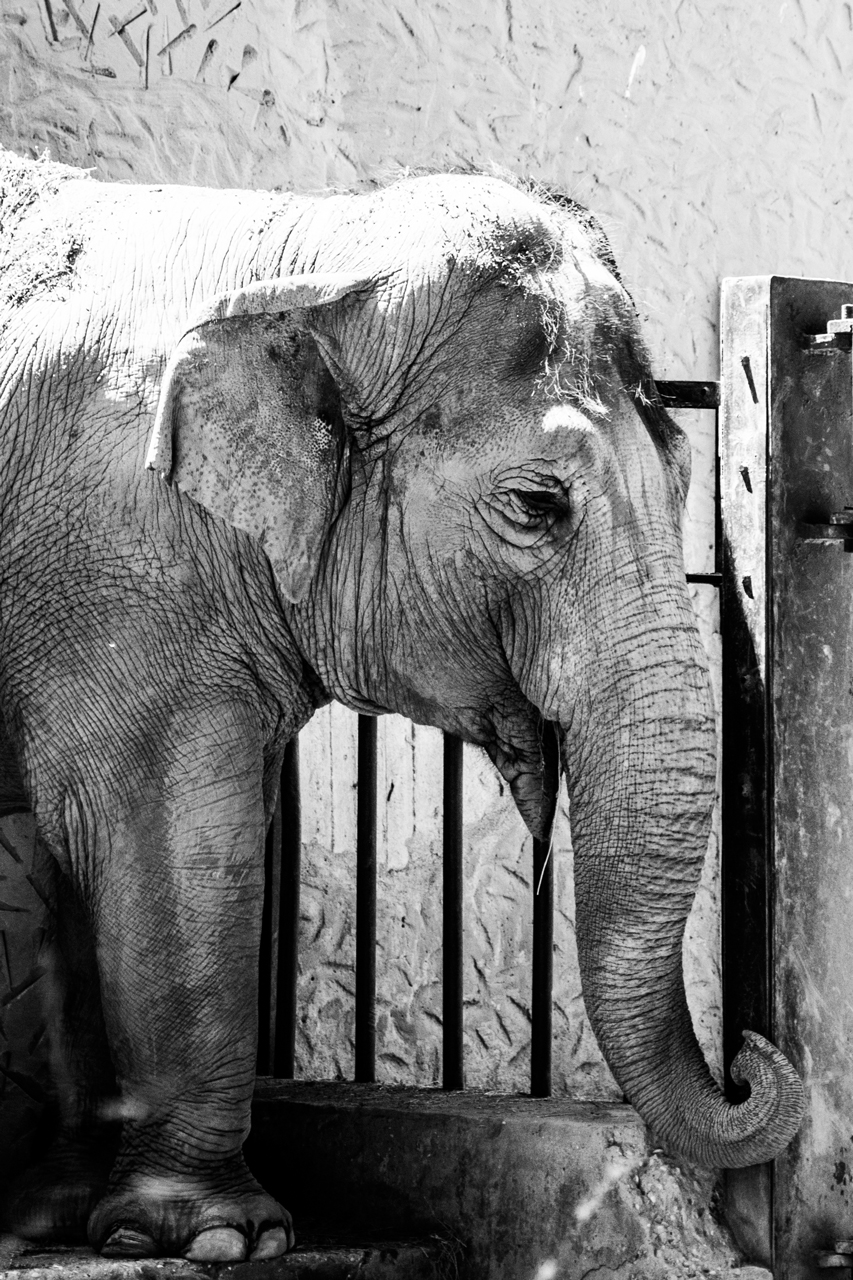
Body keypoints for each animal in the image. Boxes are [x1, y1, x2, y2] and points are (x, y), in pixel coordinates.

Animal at [0, 148, 803, 1261]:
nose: (750, 1056)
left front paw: (63, 1219)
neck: (310, 251)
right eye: (536, 506)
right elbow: (162, 833)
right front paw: (220, 1238)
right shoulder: (117, 559)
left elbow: (81, 850)